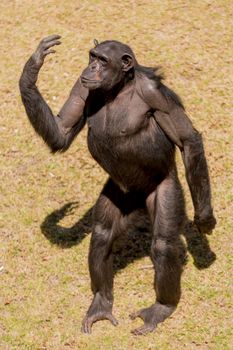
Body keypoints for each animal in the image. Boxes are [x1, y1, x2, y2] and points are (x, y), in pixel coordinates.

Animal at [19, 35, 216, 336]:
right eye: (92, 57)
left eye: (103, 60)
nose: (91, 67)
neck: (119, 89)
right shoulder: (81, 87)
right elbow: (61, 132)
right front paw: (32, 69)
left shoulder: (157, 95)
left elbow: (187, 140)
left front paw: (205, 218)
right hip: (118, 193)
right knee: (102, 234)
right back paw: (101, 303)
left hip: (165, 186)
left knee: (163, 244)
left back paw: (162, 308)